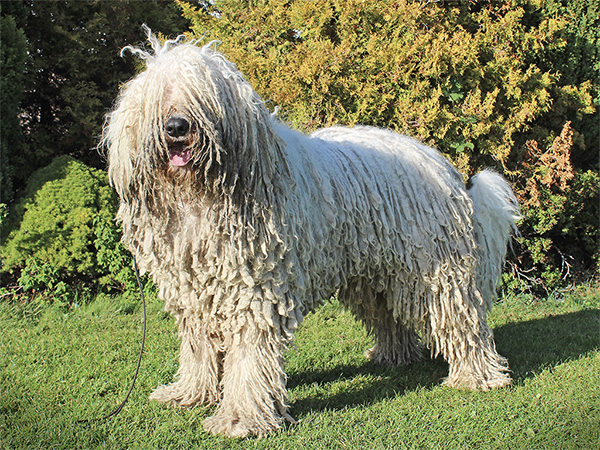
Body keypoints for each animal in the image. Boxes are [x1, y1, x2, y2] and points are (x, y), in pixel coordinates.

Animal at [103, 29, 520, 438]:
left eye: (201, 95)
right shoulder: (195, 292)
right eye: (158, 96)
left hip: (434, 269)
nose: (176, 127)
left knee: (462, 319)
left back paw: (477, 376)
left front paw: (240, 419)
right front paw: (189, 394)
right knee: (389, 314)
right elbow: (198, 346)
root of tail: (441, 165)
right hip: (375, 271)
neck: (201, 194)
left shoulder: (254, 291)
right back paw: (393, 356)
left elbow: (249, 357)